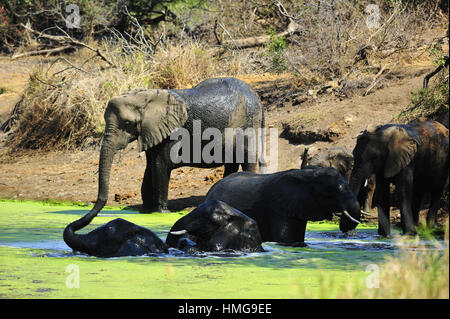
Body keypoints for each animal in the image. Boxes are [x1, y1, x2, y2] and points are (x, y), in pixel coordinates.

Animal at [89, 77, 264, 215]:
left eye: (127, 123)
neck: (147, 96)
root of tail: (256, 95)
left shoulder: (172, 131)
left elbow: (160, 165)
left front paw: (161, 212)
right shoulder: (153, 131)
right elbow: (150, 167)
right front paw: (145, 211)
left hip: (250, 122)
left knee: (248, 160)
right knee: (231, 163)